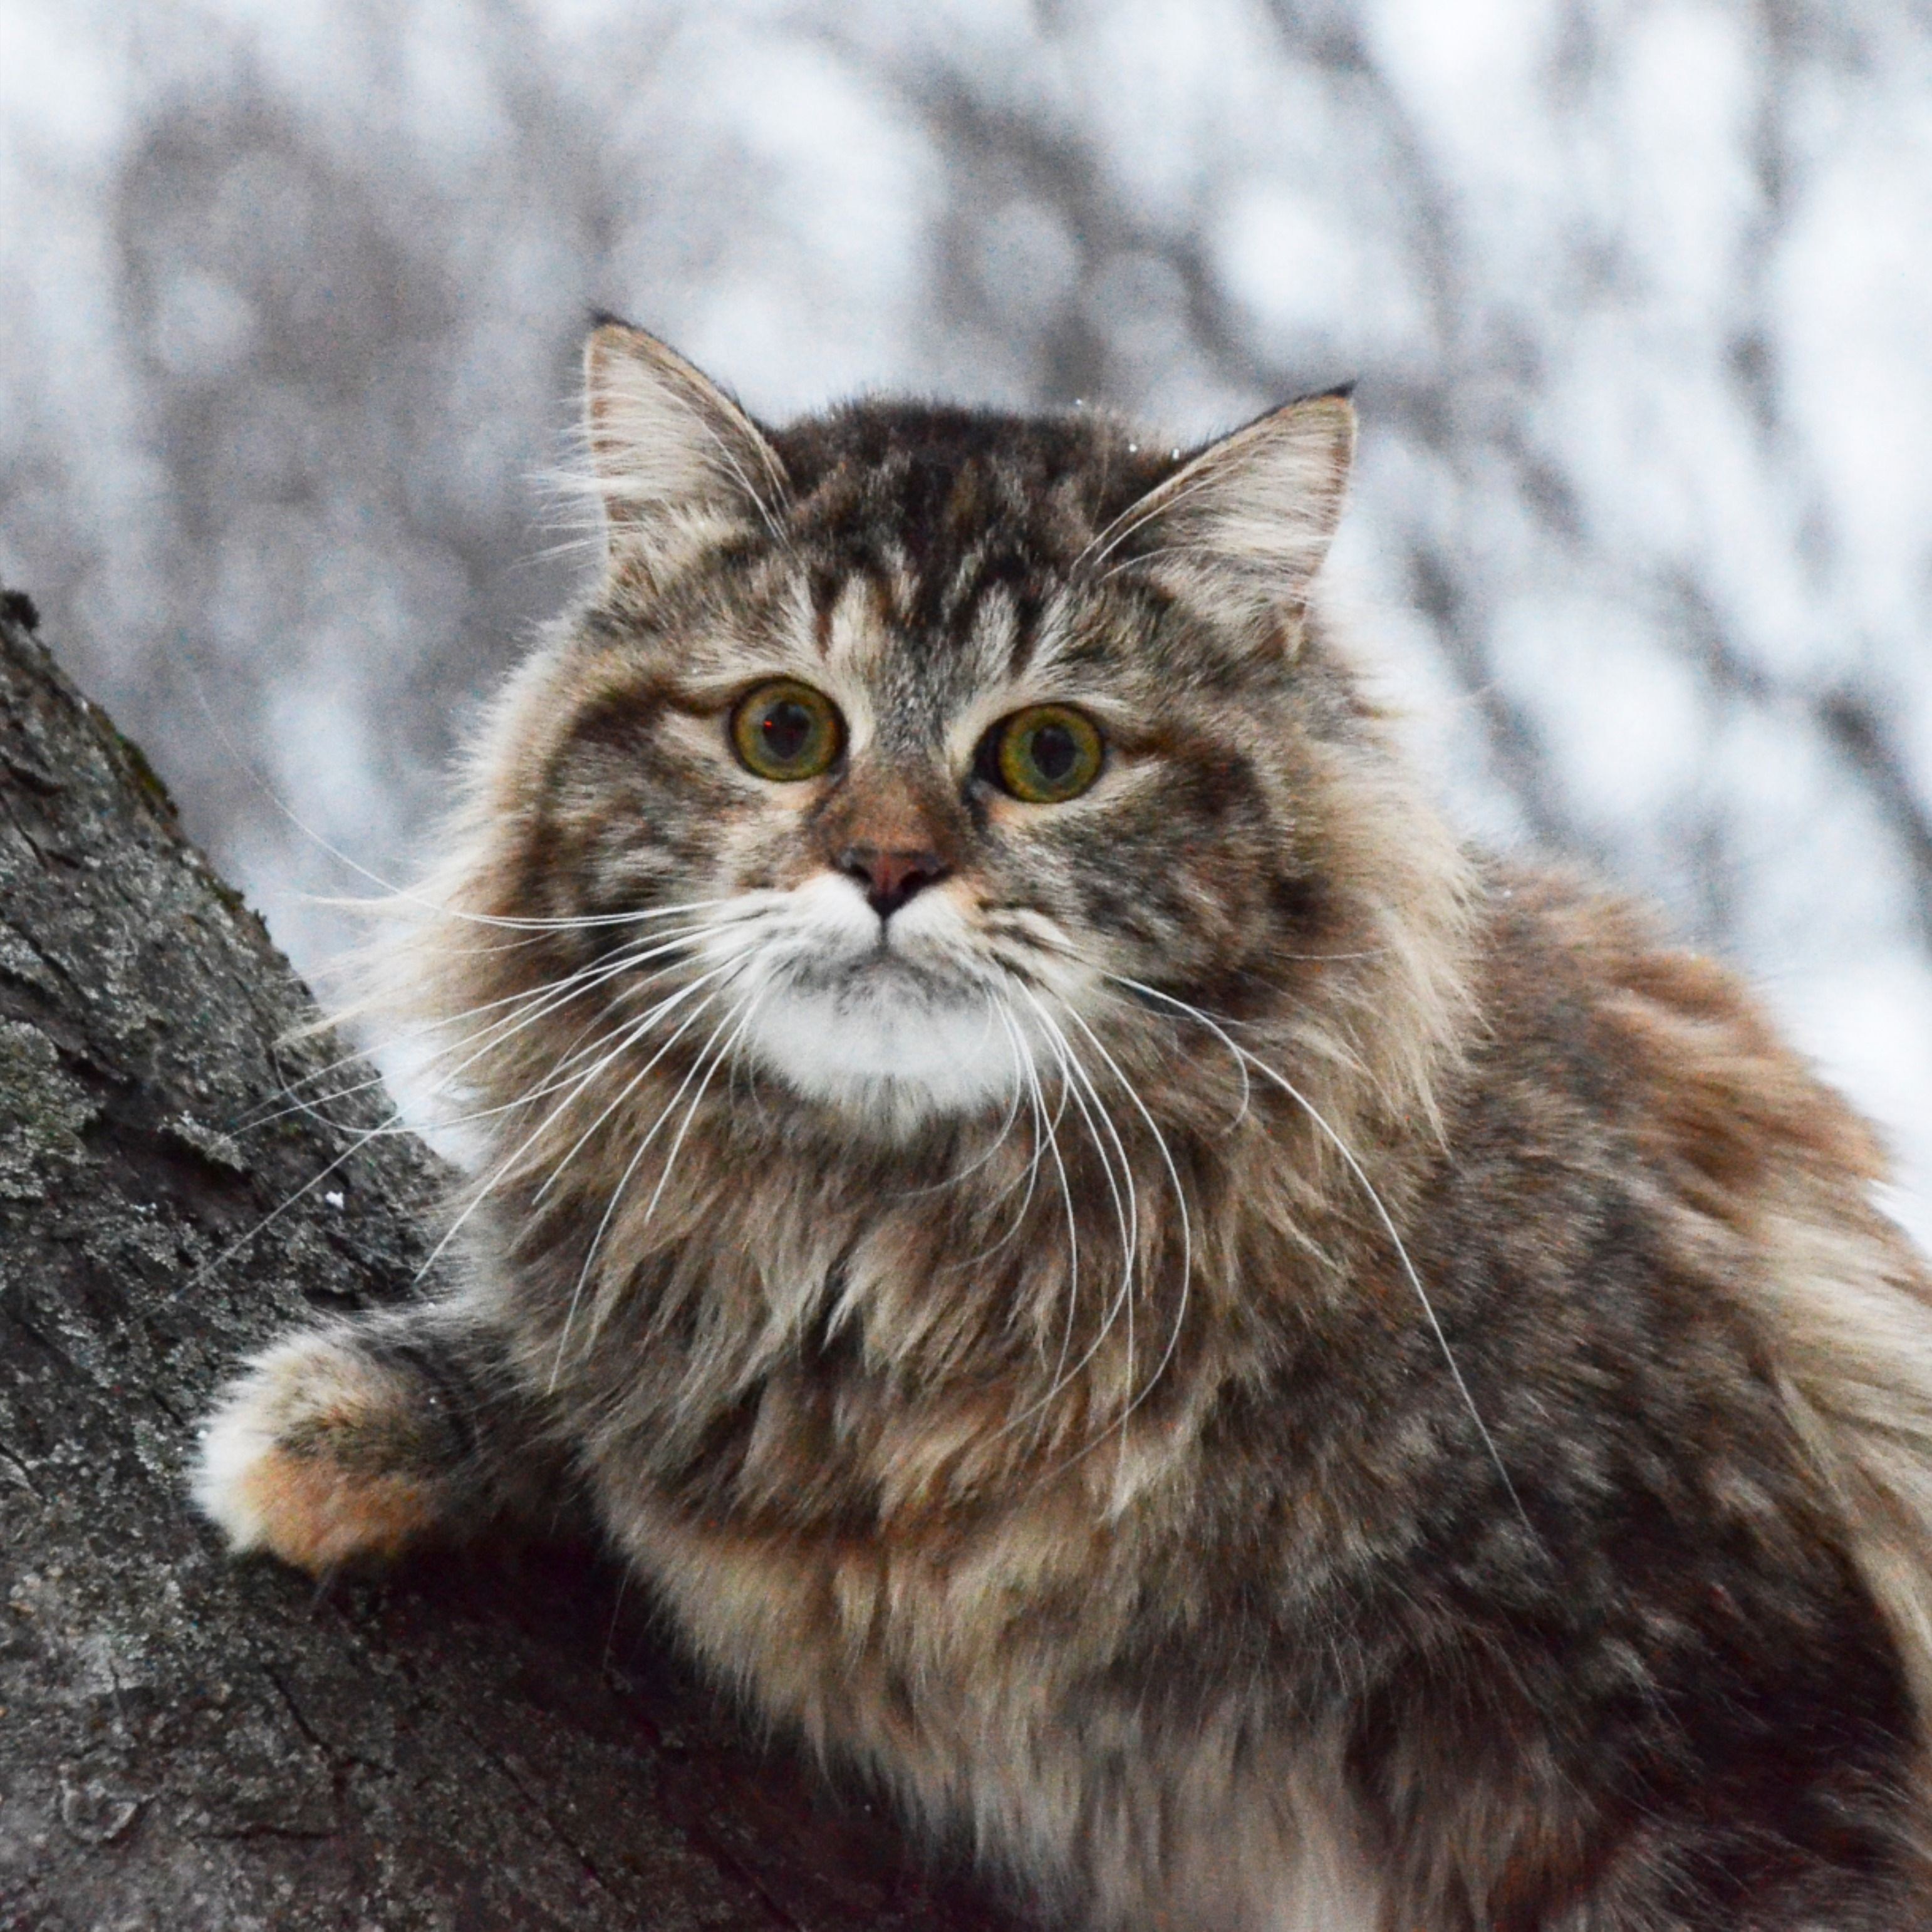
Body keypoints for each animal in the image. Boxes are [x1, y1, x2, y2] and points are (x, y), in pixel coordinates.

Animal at [188, 325, 1932, 1924]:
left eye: (1049, 755)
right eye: (783, 731)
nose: (886, 867)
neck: (909, 1268)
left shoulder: (1710, 1727)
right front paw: (335, 1428)